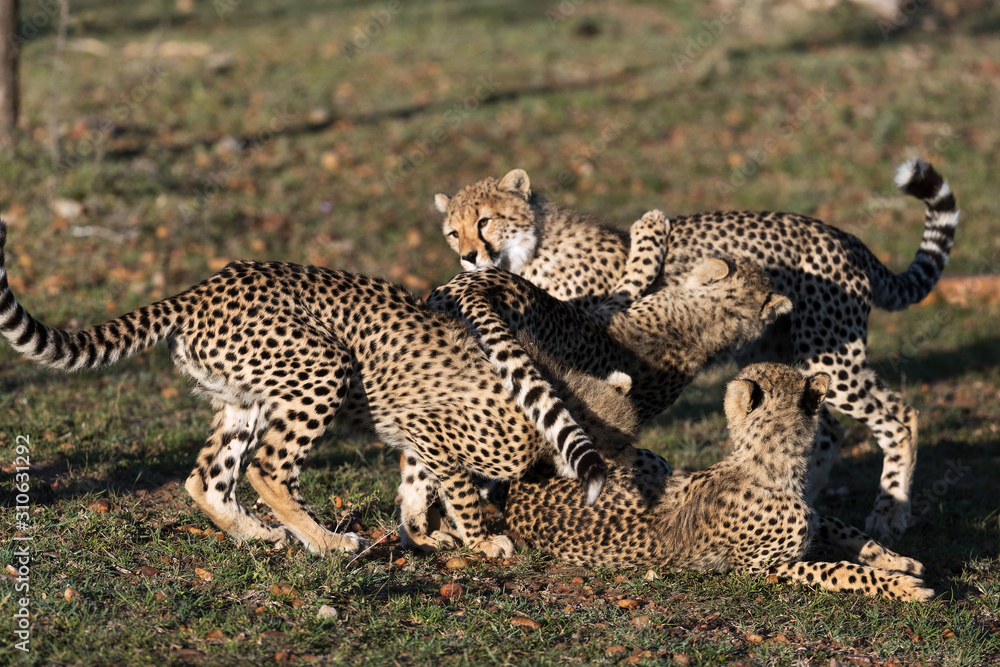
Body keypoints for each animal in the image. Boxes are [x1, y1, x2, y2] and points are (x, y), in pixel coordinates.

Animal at [0, 220, 635, 559]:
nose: (630, 465)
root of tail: (204, 286)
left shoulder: (418, 434)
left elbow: (417, 485)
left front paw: (424, 535)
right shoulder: (435, 428)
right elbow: (457, 487)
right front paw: (480, 540)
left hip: (245, 398)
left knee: (207, 477)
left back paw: (258, 534)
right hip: (322, 367)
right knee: (268, 470)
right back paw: (327, 542)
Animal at [435, 158, 960, 542]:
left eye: (485, 220)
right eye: (452, 231)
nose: (467, 256)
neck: (531, 250)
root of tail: (843, 235)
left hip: (829, 352)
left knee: (899, 416)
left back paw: (890, 512)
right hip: (785, 353)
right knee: (825, 425)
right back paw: (806, 493)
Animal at [506, 362, 935, 602]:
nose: (728, 379)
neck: (770, 462)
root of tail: (522, 487)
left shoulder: (811, 518)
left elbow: (845, 529)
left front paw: (898, 561)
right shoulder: (761, 569)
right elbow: (838, 569)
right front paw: (903, 586)